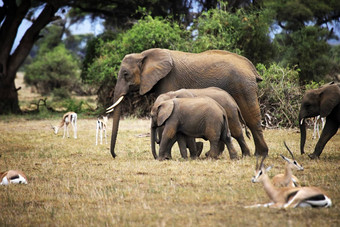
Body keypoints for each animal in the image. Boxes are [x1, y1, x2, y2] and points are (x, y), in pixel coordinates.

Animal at [107, 48, 268, 158]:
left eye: (125, 74)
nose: (115, 155)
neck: (143, 54)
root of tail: (252, 68)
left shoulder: (168, 80)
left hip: (243, 87)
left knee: (251, 121)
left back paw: (259, 155)